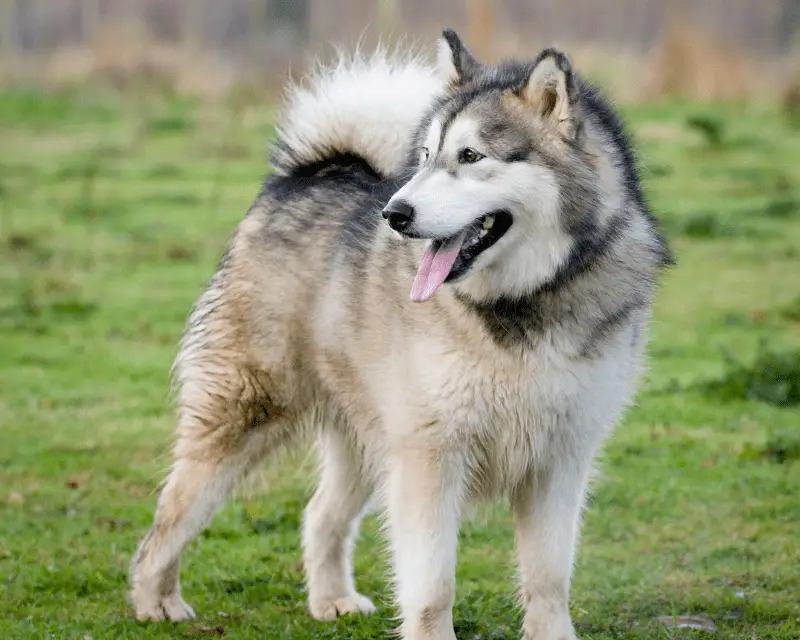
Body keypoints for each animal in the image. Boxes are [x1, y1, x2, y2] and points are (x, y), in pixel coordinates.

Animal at [128, 28, 672, 640]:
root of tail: (306, 174)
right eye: (427, 157)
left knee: (320, 514)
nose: (395, 213)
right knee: (169, 516)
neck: (523, 305)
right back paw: (154, 600)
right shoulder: (430, 457)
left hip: (369, 436)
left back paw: (332, 599)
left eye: (470, 156)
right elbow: (432, 585)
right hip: (246, 414)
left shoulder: (560, 458)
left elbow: (549, 579)